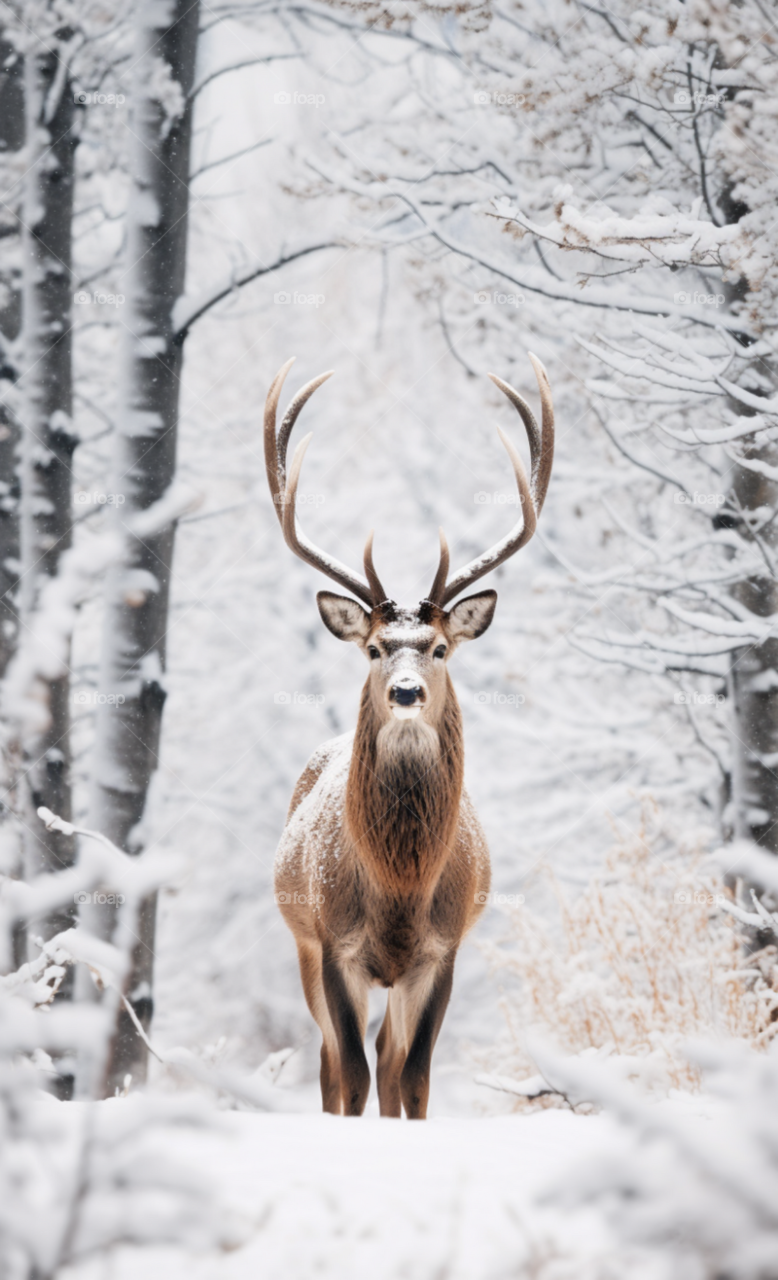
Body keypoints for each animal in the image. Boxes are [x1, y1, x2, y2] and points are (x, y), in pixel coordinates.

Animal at [265, 355, 554, 1118]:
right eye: (373, 647)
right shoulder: (333, 944)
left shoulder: (442, 951)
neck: (399, 890)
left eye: (441, 648)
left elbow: (414, 1077)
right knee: (334, 1065)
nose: (404, 692)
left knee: (392, 1063)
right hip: (301, 946)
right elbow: (352, 1076)